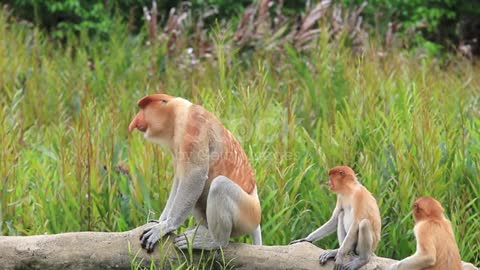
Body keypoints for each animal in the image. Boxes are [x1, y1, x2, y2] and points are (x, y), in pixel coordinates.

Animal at [128, 94, 262, 252]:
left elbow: (194, 175)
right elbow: (179, 180)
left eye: (143, 108)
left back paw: (215, 241)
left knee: (219, 186)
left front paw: (165, 226)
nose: (134, 121)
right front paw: (160, 221)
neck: (177, 113)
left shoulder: (193, 126)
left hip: (248, 214)